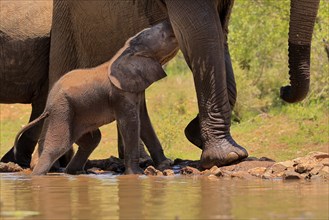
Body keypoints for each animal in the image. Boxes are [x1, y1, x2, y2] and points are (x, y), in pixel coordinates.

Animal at [14, 20, 179, 175]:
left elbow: (144, 121)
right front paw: (136, 174)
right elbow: (131, 123)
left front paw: (165, 164)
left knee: (92, 140)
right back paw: (38, 177)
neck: (126, 51)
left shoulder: (135, 88)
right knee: (57, 146)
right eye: (162, 35)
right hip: (62, 111)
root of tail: (47, 107)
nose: (168, 21)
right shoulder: (119, 94)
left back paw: (77, 172)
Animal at [48, 0, 318, 168]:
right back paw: (59, 165)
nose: (284, 90)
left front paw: (196, 136)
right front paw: (228, 157)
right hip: (67, 25)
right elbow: (204, 36)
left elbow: (220, 36)